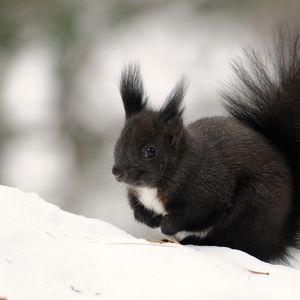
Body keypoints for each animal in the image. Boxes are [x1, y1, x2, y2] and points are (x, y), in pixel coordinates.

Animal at [111, 31, 300, 262]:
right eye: (120, 141)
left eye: (150, 151)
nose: (117, 172)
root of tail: (282, 234)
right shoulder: (137, 194)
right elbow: (138, 210)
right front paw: (150, 219)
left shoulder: (207, 190)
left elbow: (196, 215)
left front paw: (166, 225)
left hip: (252, 210)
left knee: (237, 241)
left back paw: (194, 241)